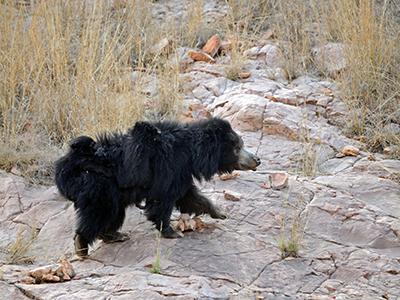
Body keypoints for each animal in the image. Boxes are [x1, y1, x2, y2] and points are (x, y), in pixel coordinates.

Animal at [54, 116, 260, 256]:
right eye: (237, 148)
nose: (257, 160)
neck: (192, 152)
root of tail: (69, 165)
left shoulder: (182, 173)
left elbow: (190, 197)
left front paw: (220, 213)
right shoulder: (170, 168)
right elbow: (164, 200)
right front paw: (172, 232)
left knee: (113, 213)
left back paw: (114, 235)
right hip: (100, 186)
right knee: (101, 212)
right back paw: (81, 245)